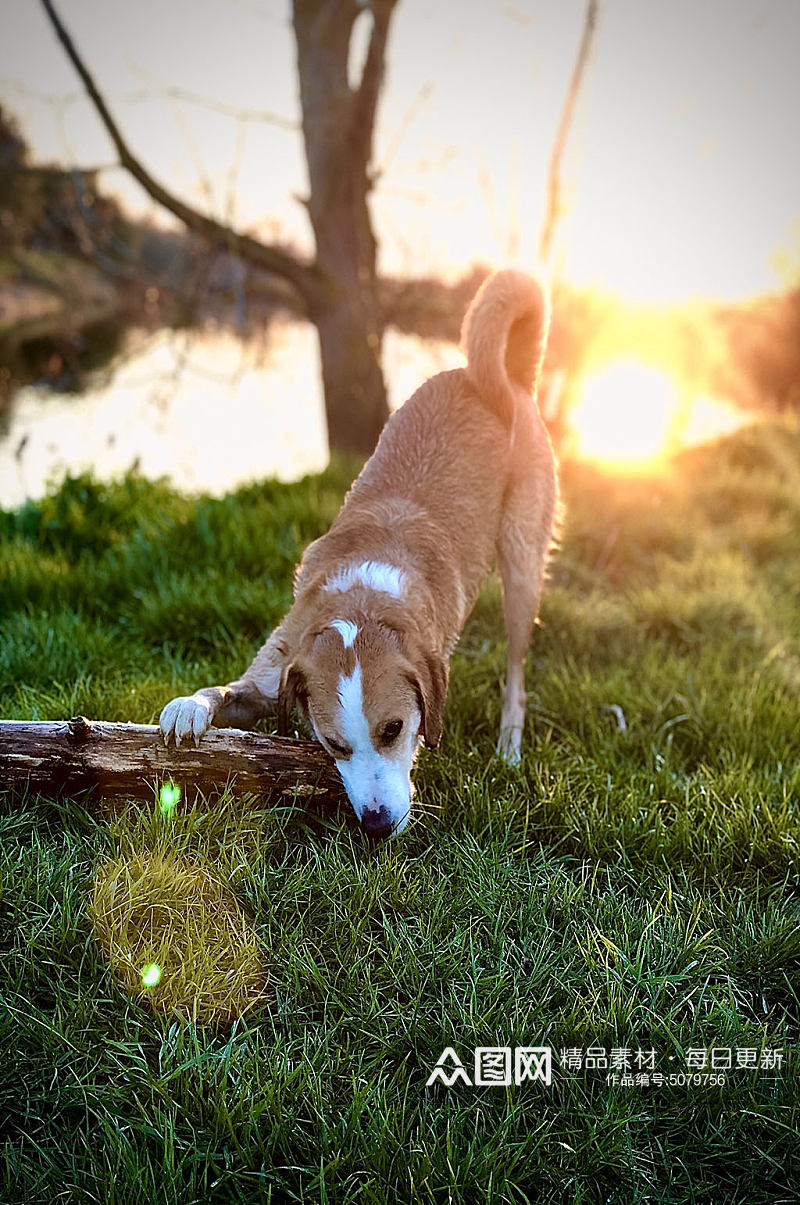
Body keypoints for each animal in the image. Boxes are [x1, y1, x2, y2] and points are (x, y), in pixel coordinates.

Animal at [157, 272, 556, 838]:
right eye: (333, 744)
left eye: (395, 729)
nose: (377, 825)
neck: (363, 601)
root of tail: (504, 376)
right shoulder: (275, 670)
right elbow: (224, 689)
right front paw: (187, 707)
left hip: (523, 566)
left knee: (517, 671)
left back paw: (509, 747)